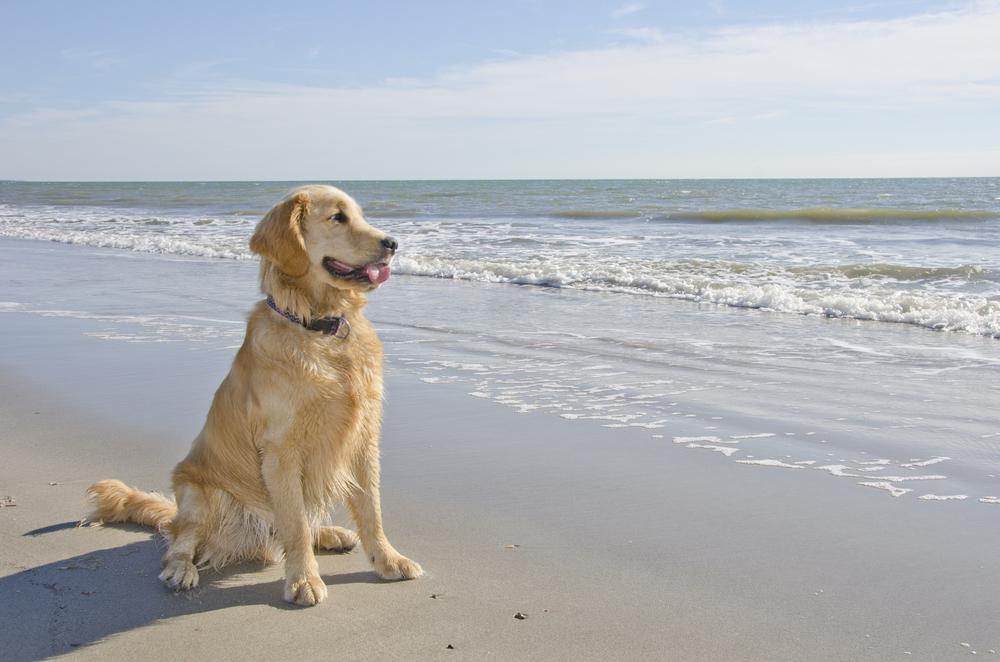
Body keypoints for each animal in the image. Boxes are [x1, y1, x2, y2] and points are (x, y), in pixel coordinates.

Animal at [87, 183, 426, 608]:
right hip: (196, 493)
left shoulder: (363, 436)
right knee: (182, 542)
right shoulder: (281, 449)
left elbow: (371, 510)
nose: (393, 243)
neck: (319, 327)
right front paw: (304, 579)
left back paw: (331, 534)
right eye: (337, 217)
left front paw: (388, 559)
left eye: (362, 215)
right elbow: (295, 524)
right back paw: (182, 569)